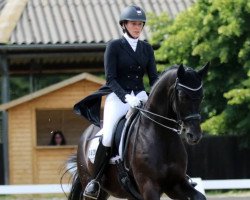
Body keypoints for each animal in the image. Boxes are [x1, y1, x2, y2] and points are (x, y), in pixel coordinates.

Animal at [67, 64, 208, 200]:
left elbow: (200, 197)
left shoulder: (175, 184)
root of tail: (86, 133)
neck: (162, 136)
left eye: (202, 96)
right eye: (182, 96)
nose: (194, 135)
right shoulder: (149, 186)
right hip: (91, 184)